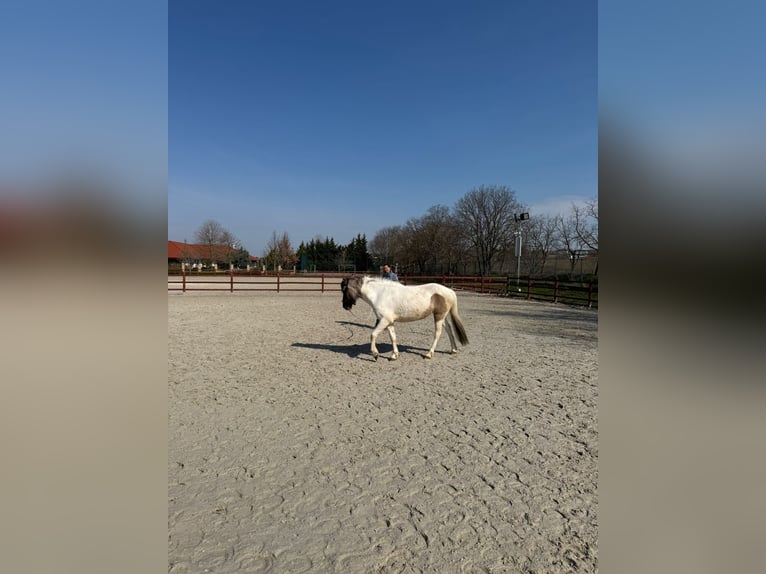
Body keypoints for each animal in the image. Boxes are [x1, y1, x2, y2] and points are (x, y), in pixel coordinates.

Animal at [340, 276, 469, 360]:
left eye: (344, 289)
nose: (345, 306)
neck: (380, 294)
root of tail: (449, 291)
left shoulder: (384, 320)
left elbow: (373, 334)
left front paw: (375, 354)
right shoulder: (389, 322)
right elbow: (393, 338)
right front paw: (394, 355)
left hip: (438, 316)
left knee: (438, 333)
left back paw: (429, 354)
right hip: (442, 316)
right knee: (449, 330)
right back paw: (453, 350)